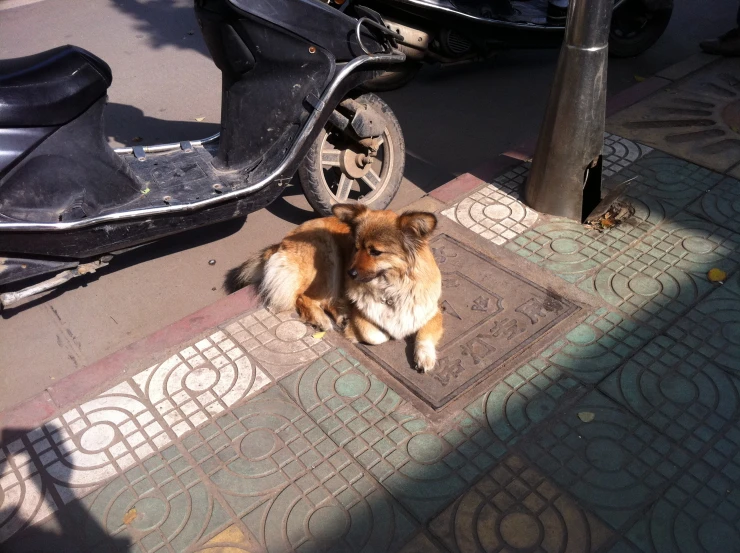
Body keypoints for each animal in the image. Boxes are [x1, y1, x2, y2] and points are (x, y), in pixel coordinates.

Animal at [228, 202, 442, 370]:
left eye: (375, 252)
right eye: (356, 247)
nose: (350, 274)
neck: (391, 287)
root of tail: (282, 242)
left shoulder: (432, 311)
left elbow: (424, 334)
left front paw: (425, 357)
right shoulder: (365, 317)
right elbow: (376, 335)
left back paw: (339, 314)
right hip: (329, 255)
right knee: (304, 297)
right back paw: (322, 319)